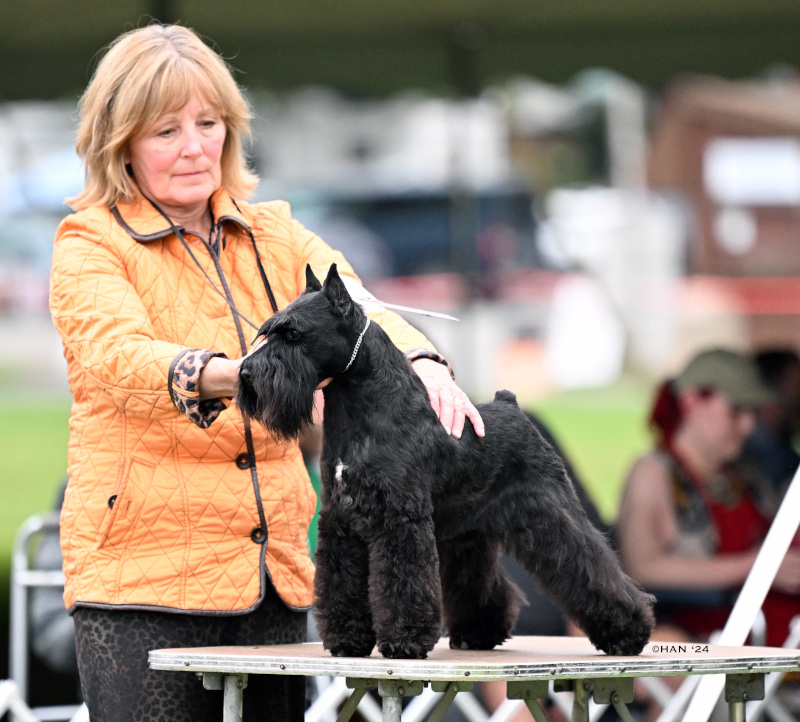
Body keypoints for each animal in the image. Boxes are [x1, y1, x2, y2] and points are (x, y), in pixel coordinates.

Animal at [238, 264, 654, 660]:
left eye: (293, 334)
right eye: (269, 332)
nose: (244, 373)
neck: (362, 407)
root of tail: (510, 403)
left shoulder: (400, 519)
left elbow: (403, 582)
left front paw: (403, 641)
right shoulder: (341, 520)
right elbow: (342, 582)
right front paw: (347, 640)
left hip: (547, 512)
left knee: (590, 563)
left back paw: (628, 632)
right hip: (465, 535)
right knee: (484, 584)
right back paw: (478, 633)